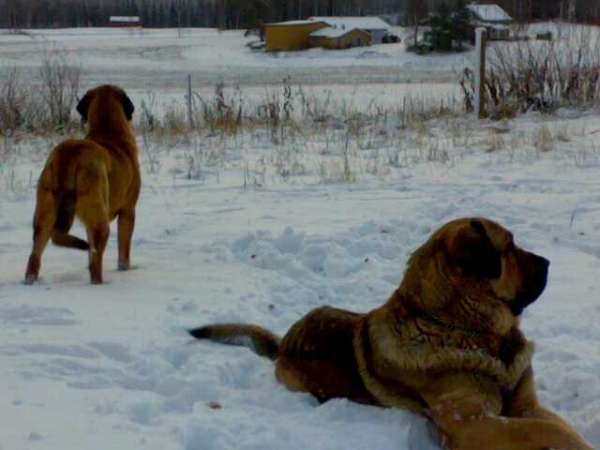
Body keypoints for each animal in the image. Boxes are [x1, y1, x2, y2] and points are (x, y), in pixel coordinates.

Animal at [24, 84, 141, 284]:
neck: (108, 132)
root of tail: (70, 153)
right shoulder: (128, 210)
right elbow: (123, 252)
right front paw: (125, 270)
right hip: (99, 215)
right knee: (95, 259)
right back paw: (98, 284)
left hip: (45, 211)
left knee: (35, 255)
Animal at [190, 216, 592, 448]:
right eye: (508, 246)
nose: (548, 262)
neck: (472, 331)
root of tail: (287, 339)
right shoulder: (470, 424)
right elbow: (543, 431)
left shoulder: (526, 405)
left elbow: (562, 428)